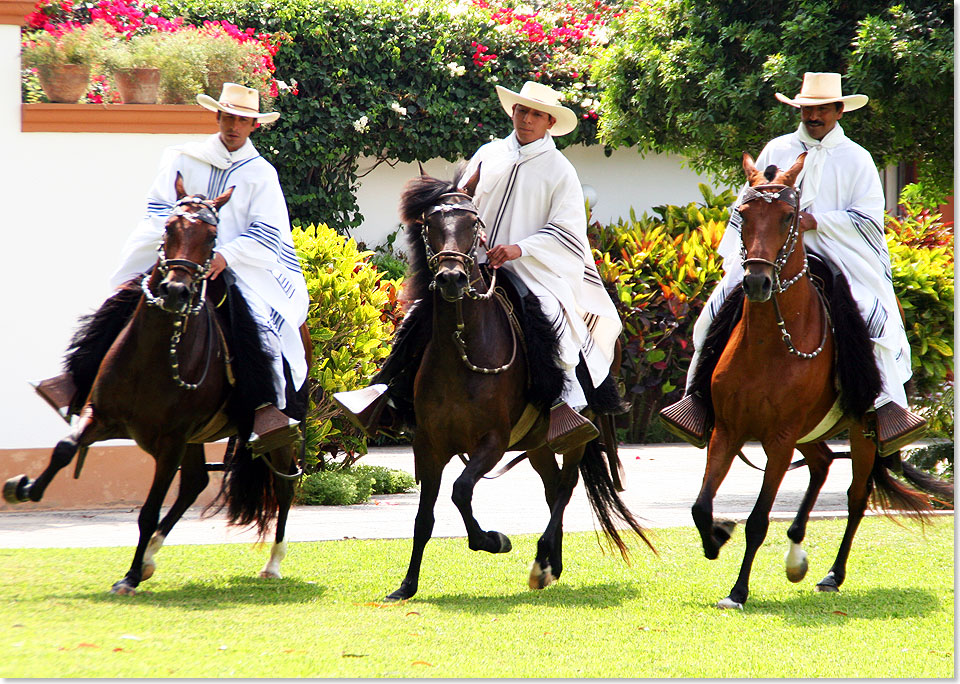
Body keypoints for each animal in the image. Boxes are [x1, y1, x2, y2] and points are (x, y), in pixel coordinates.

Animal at [3, 174, 310, 596]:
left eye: (212, 237)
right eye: (168, 227)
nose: (176, 290)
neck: (153, 355)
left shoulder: (172, 440)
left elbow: (148, 510)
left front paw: (129, 577)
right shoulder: (101, 415)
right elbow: (65, 448)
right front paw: (24, 488)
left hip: (269, 434)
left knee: (284, 483)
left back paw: (273, 562)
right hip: (196, 438)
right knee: (195, 483)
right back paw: (150, 555)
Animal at [382, 171, 652, 604]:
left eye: (473, 223)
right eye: (429, 224)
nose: (452, 278)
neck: (462, 348)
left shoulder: (492, 442)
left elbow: (461, 490)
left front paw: (492, 540)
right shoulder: (428, 444)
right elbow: (425, 516)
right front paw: (407, 585)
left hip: (575, 435)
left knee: (566, 487)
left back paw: (543, 561)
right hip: (538, 442)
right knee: (552, 486)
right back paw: (551, 562)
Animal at [688, 154, 952, 608]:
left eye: (788, 216)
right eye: (743, 214)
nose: (756, 282)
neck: (768, 342)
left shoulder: (779, 438)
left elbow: (758, 521)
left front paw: (738, 591)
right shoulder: (729, 429)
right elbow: (701, 506)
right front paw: (716, 537)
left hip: (861, 432)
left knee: (856, 498)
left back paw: (832, 574)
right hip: (808, 432)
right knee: (823, 463)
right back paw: (797, 555)